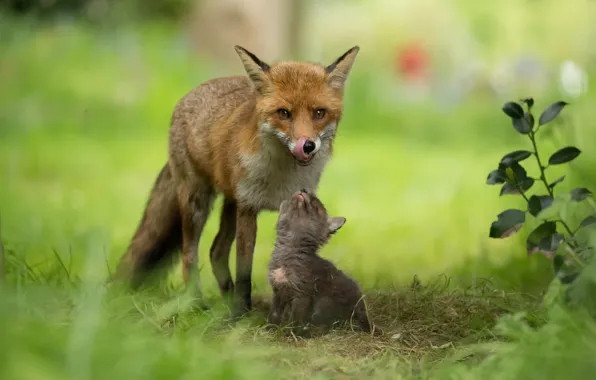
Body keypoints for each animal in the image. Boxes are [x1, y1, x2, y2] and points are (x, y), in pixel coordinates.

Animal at [114, 44, 360, 318]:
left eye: (319, 113)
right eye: (284, 113)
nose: (307, 146)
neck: (282, 175)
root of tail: (191, 94)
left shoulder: (289, 203)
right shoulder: (248, 208)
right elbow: (244, 271)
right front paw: (242, 314)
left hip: (230, 204)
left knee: (216, 251)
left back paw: (225, 298)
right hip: (198, 203)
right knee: (190, 256)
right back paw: (197, 303)